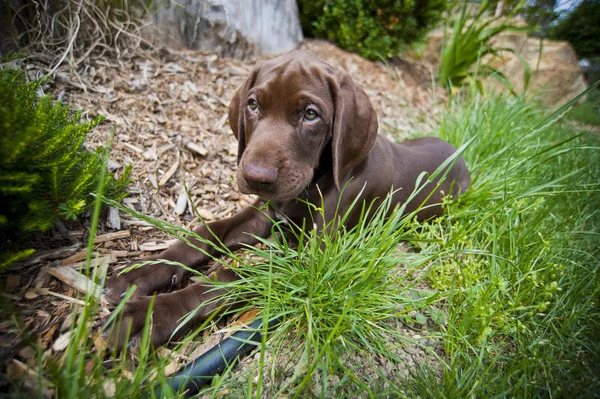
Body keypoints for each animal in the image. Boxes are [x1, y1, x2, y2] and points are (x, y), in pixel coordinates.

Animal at [103, 50, 472, 350]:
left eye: (310, 114)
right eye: (253, 105)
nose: (256, 177)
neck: (312, 184)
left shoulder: (310, 260)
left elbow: (235, 276)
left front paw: (155, 314)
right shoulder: (264, 213)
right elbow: (207, 232)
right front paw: (142, 273)